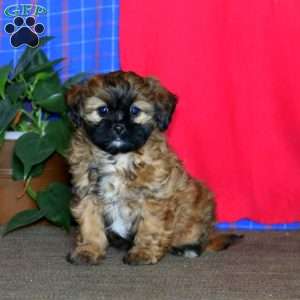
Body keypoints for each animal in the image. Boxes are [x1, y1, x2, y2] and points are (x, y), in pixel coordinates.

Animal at [65, 71, 241, 266]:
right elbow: (90, 223)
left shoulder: (153, 196)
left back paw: (188, 247)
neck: (119, 157)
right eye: (103, 110)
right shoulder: (87, 193)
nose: (118, 127)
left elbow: (150, 226)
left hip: (199, 203)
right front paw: (89, 250)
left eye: (135, 111)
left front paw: (144, 252)